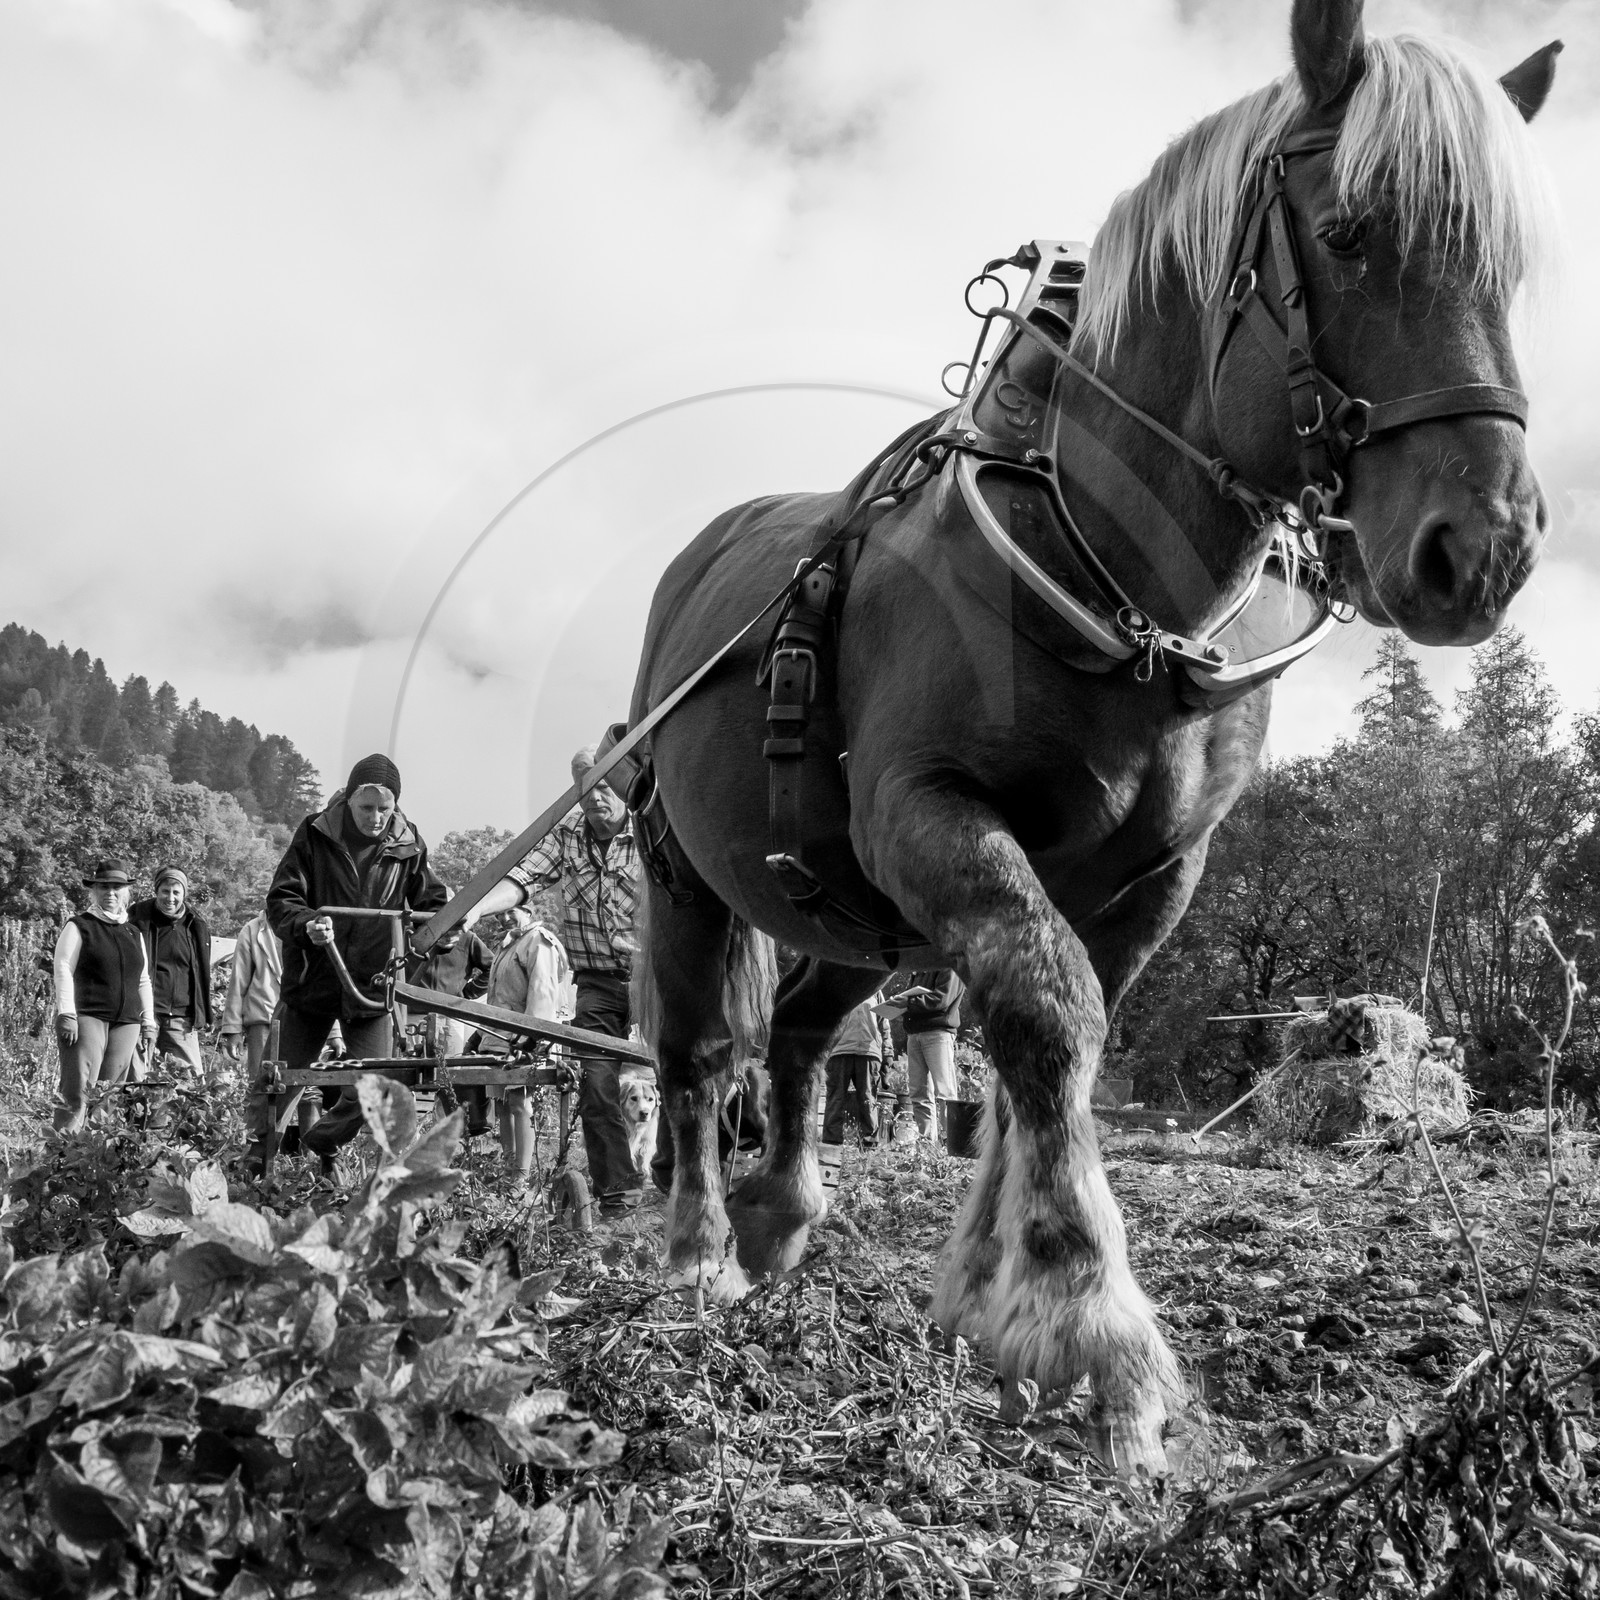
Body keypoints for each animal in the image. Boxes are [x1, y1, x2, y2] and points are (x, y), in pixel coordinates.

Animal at [625, 0, 1559, 1474]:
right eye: (1350, 230)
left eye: (1513, 270)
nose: (1490, 550)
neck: (1108, 567)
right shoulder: (930, 812)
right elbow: (1046, 1014)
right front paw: (1089, 1321)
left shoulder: (1152, 874)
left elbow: (1051, 1044)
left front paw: (978, 1296)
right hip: (689, 874)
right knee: (700, 1051)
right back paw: (701, 1251)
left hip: (850, 904)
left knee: (801, 1028)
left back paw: (780, 1218)